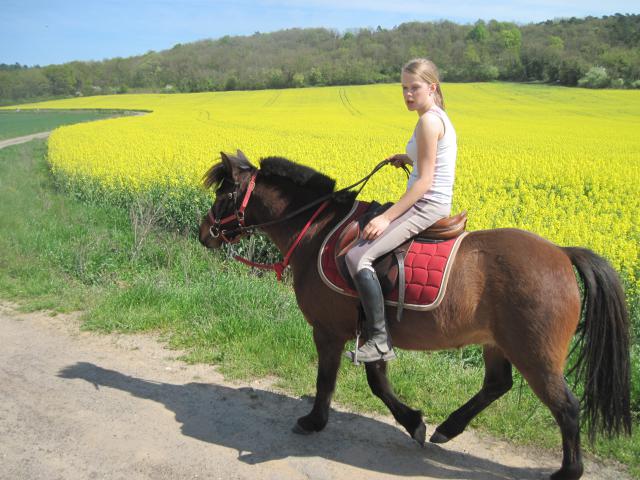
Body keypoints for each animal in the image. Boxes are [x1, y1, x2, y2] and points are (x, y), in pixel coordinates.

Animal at [199, 151, 632, 480]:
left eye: (224, 193)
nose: (205, 232)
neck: (318, 229)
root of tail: (561, 252)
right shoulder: (371, 332)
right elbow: (378, 380)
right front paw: (415, 422)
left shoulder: (329, 330)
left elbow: (329, 380)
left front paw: (315, 421)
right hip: (497, 343)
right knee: (498, 384)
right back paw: (449, 428)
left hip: (536, 355)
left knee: (566, 407)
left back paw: (567, 471)